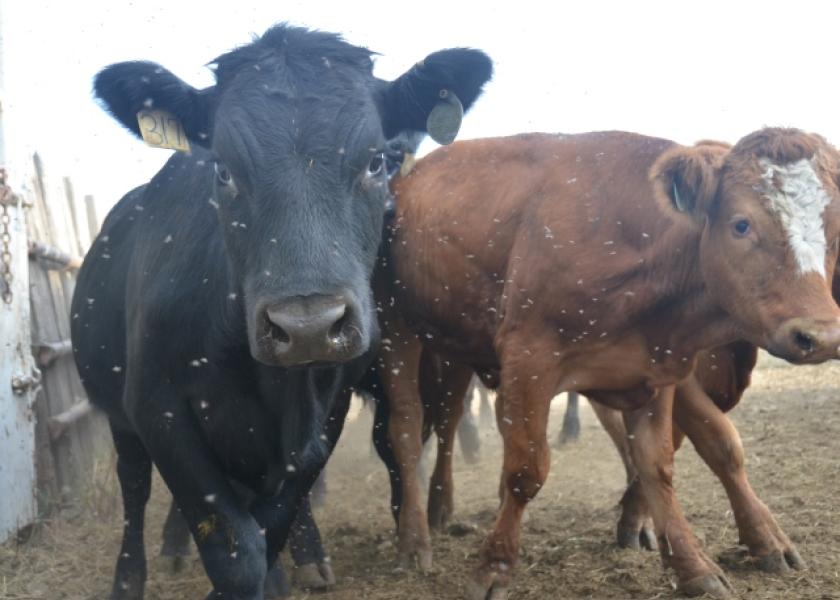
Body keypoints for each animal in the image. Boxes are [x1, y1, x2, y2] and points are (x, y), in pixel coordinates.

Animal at [74, 24, 492, 600]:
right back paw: (133, 574)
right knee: (134, 489)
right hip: (119, 412)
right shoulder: (157, 407)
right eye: (223, 170)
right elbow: (233, 552)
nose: (308, 327)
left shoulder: (325, 412)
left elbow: (272, 526)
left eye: (376, 161)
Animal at [378, 129, 840, 596]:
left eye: (834, 228)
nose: (820, 336)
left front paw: (694, 566)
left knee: (447, 418)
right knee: (409, 427)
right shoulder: (530, 359)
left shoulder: (655, 368)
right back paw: (414, 539)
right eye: (741, 224)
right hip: (398, 328)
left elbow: (662, 462)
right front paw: (494, 568)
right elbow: (526, 469)